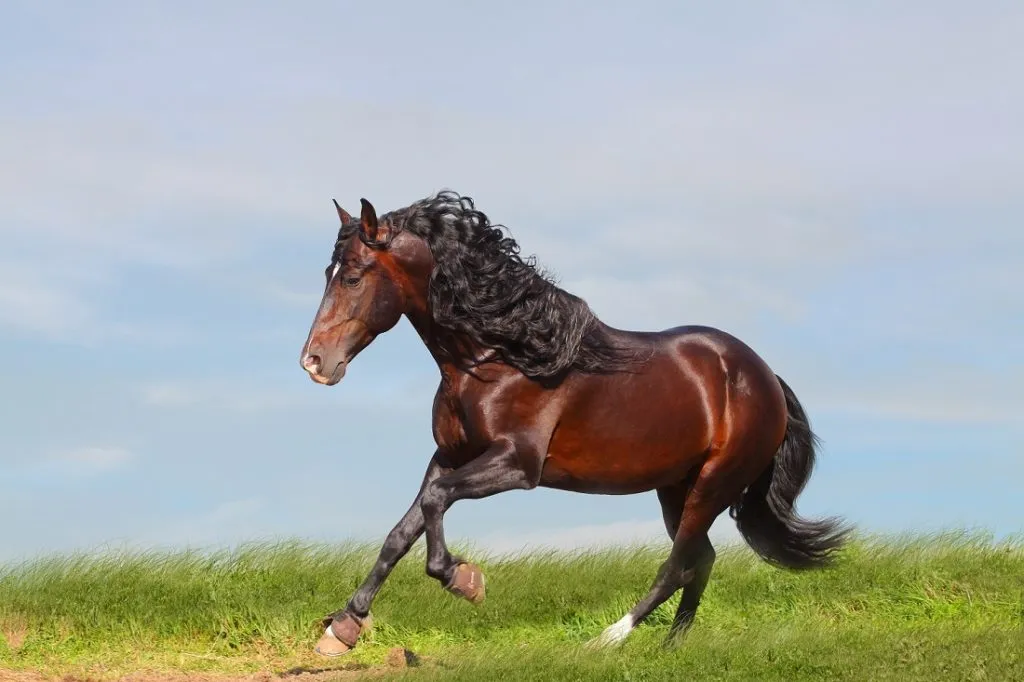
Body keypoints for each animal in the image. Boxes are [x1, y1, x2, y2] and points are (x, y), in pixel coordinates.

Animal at [299, 191, 849, 656]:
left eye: (352, 276)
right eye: (328, 271)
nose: (314, 362)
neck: (498, 356)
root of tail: (764, 377)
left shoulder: (517, 464)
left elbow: (434, 506)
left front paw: (464, 580)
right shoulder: (448, 456)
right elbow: (402, 530)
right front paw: (343, 628)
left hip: (713, 485)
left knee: (677, 566)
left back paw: (606, 641)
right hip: (677, 487)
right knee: (701, 560)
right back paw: (671, 647)